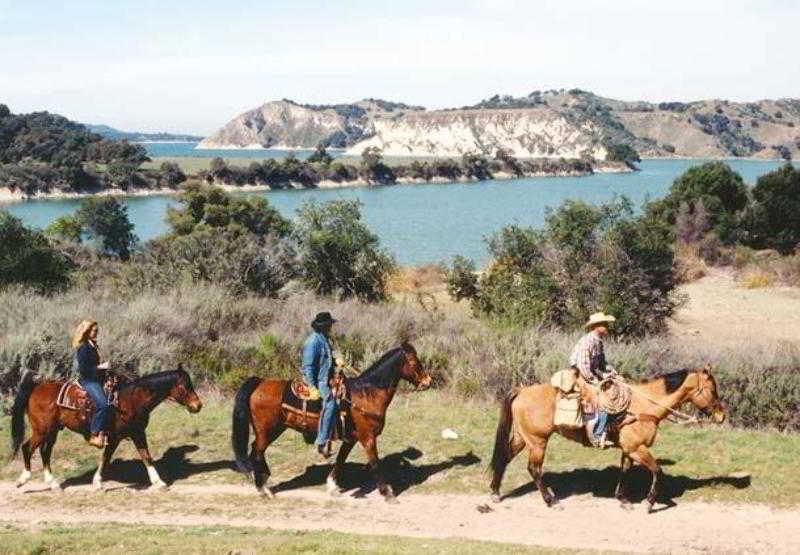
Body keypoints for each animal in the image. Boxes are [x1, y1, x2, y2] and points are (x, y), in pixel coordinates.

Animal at [9, 370, 203, 490]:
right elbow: (109, 458)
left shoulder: (133, 434)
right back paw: (23, 479)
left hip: (52, 431)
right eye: (185, 386)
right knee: (27, 447)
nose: (198, 405)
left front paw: (159, 482)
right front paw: (97, 483)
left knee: (45, 452)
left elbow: (143, 456)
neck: (130, 399)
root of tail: (36, 388)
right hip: (42, 430)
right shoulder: (121, 435)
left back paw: (53, 483)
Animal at [231, 344, 432, 504]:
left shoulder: (350, 439)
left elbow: (340, 460)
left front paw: (332, 486)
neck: (367, 394)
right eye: (414, 361)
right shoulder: (368, 438)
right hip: (267, 430)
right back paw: (263, 488)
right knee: (256, 451)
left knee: (257, 452)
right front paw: (387, 494)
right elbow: (375, 464)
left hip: (274, 429)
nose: (427, 381)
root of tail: (259, 382)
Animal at [488, 368, 724, 516]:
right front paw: (648, 504)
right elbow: (658, 472)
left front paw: (623, 499)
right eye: (712, 389)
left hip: (523, 438)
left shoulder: (629, 449)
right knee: (534, 469)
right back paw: (551, 501)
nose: (721, 416)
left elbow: (625, 470)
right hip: (538, 441)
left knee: (504, 458)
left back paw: (495, 493)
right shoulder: (638, 448)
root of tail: (522, 390)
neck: (645, 406)